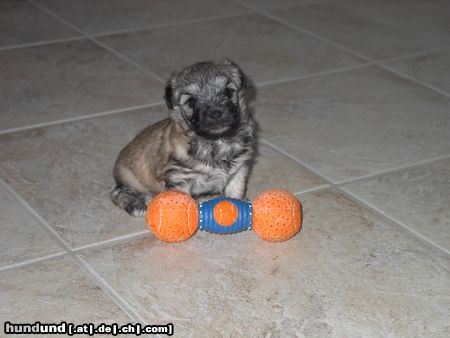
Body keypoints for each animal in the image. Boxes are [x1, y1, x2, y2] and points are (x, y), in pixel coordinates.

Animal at [111, 59, 255, 215]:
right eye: (191, 101)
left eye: (228, 92)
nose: (215, 113)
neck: (215, 142)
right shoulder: (180, 179)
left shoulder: (238, 171)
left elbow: (236, 192)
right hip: (131, 180)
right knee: (117, 193)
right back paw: (135, 205)